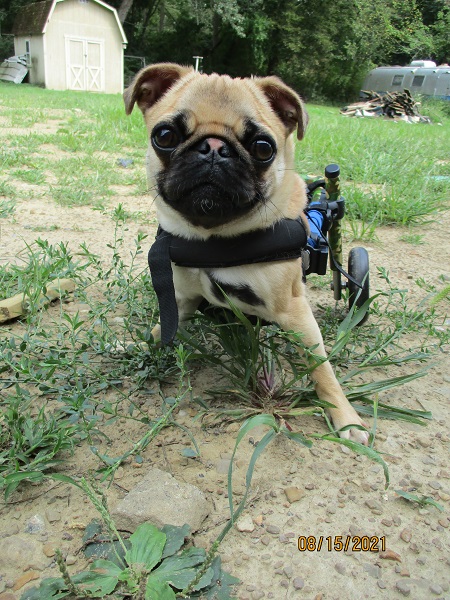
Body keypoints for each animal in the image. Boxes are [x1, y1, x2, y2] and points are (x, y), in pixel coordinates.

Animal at [124, 63, 370, 442]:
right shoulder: (182, 298)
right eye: (164, 136)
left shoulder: (294, 311)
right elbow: (162, 326)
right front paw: (143, 344)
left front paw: (345, 416)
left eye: (263, 147)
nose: (213, 147)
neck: (213, 241)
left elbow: (321, 369)